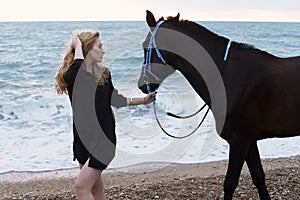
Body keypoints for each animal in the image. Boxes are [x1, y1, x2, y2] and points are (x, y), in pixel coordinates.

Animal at [138, 10, 300, 199]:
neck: (228, 76)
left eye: (145, 46)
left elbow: (230, 183)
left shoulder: (240, 140)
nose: (142, 85)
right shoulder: (249, 141)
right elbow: (259, 177)